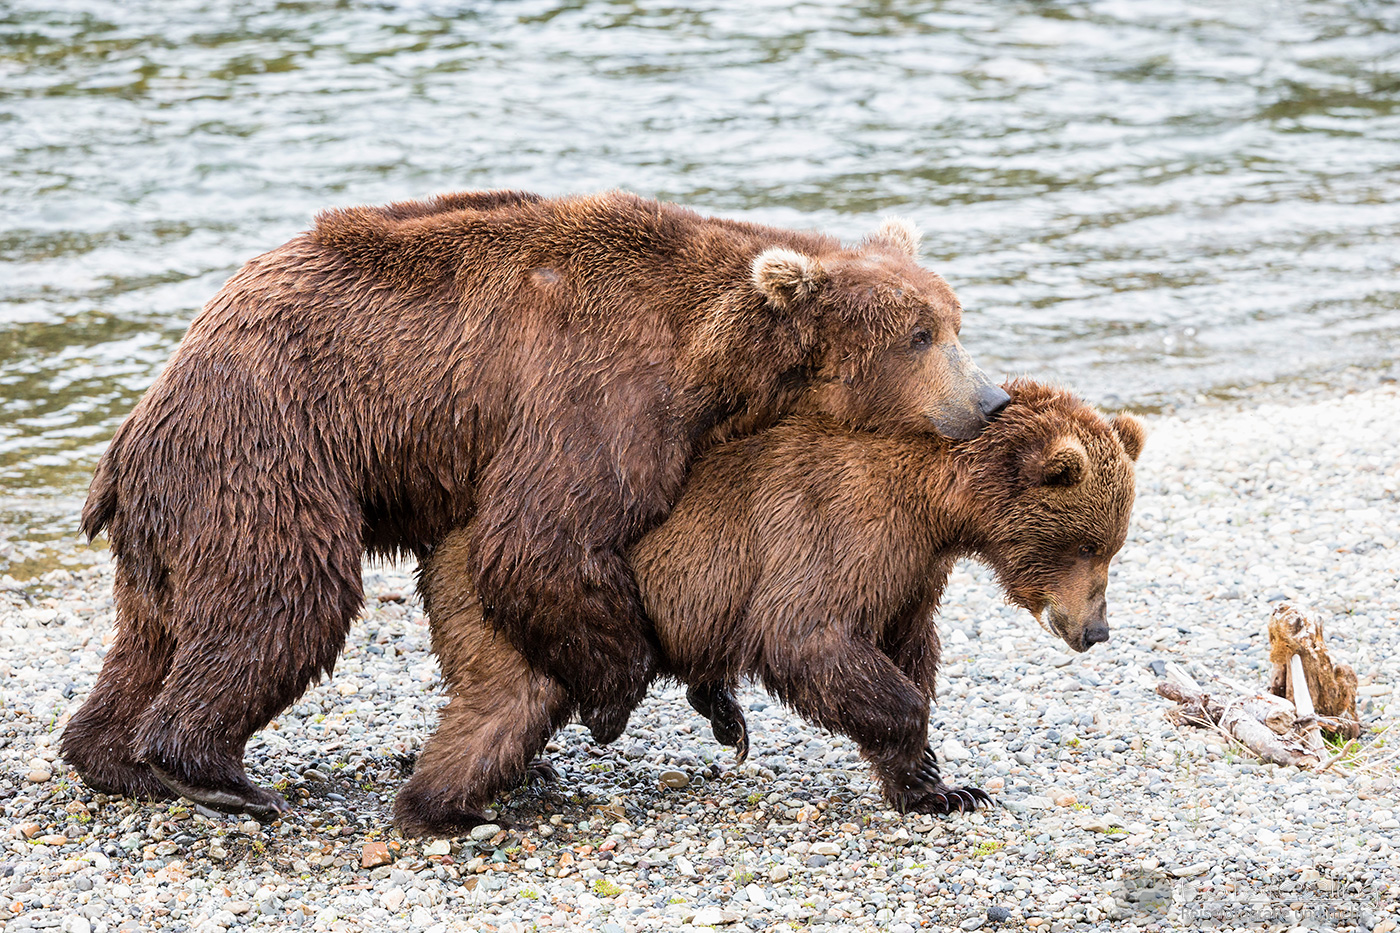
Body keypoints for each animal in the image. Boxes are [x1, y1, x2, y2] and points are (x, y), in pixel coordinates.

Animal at [61, 189, 1011, 821]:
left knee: (154, 631)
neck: (713, 357)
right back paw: (215, 774)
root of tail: (138, 423)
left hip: (178, 511)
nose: (993, 398)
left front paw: (719, 706)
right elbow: (540, 537)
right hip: (267, 450)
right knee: (284, 598)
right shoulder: (596, 388)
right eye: (919, 335)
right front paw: (615, 695)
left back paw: (115, 759)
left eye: (953, 319)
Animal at [407, 379, 1143, 833]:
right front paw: (929, 765)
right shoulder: (844, 525)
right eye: (1088, 544)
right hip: (525, 607)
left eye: (1113, 544)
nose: (1096, 630)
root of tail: (442, 538)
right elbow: (806, 635)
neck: (939, 505)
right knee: (507, 704)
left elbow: (908, 646)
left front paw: (941, 787)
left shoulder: (914, 570)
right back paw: (447, 807)